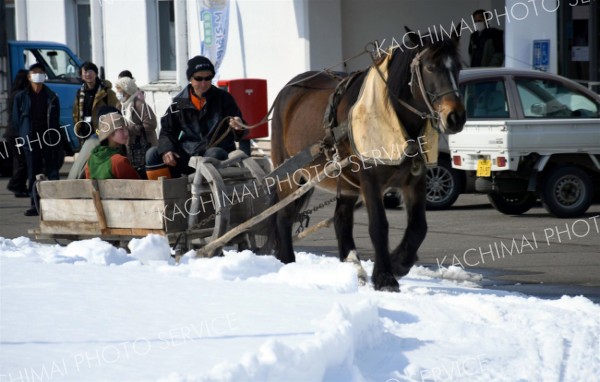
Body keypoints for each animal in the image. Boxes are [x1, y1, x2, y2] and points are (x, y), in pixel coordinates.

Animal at [264, 30, 466, 292]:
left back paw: (354, 267)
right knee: (284, 216)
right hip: (291, 174)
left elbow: (419, 227)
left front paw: (399, 262)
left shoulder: (416, 180)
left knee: (341, 219)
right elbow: (379, 226)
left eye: (459, 67)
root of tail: (288, 90)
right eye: (431, 67)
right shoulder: (370, 180)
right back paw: (288, 263)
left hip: (345, 181)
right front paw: (385, 277)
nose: (455, 117)